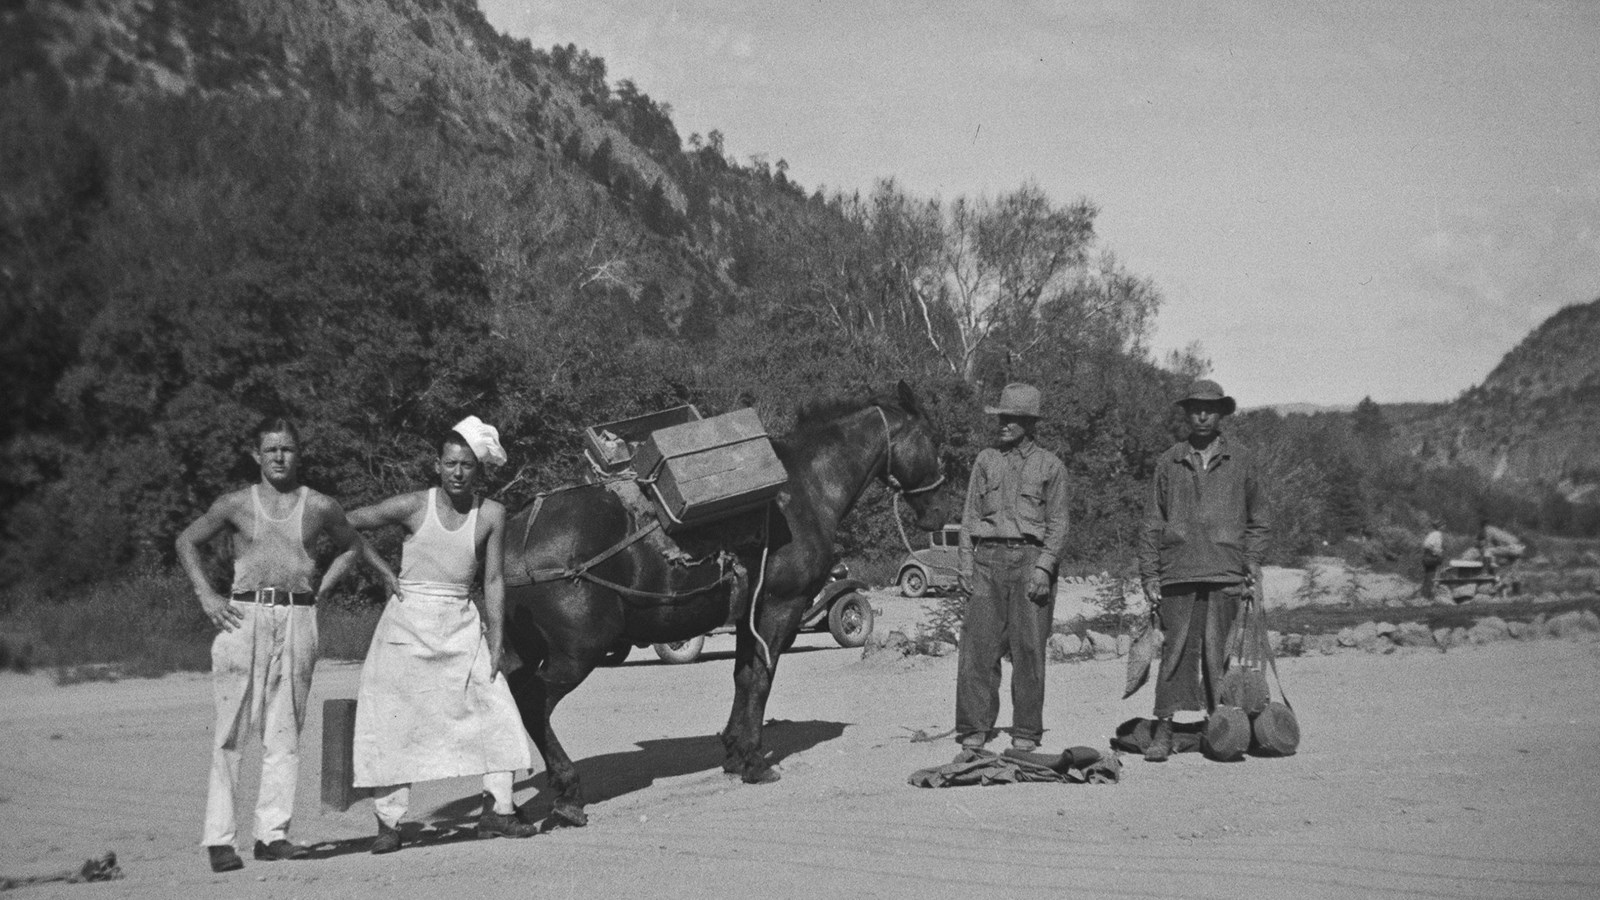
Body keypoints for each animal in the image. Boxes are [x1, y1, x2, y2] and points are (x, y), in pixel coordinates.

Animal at [501, 381, 951, 827]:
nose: (940, 513)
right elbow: (761, 678)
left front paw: (735, 752)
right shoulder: (780, 608)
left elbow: (743, 676)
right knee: (533, 703)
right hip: (580, 650)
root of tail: (516, 532)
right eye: (932, 439)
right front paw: (753, 761)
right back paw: (567, 792)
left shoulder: (747, 615)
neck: (805, 488)